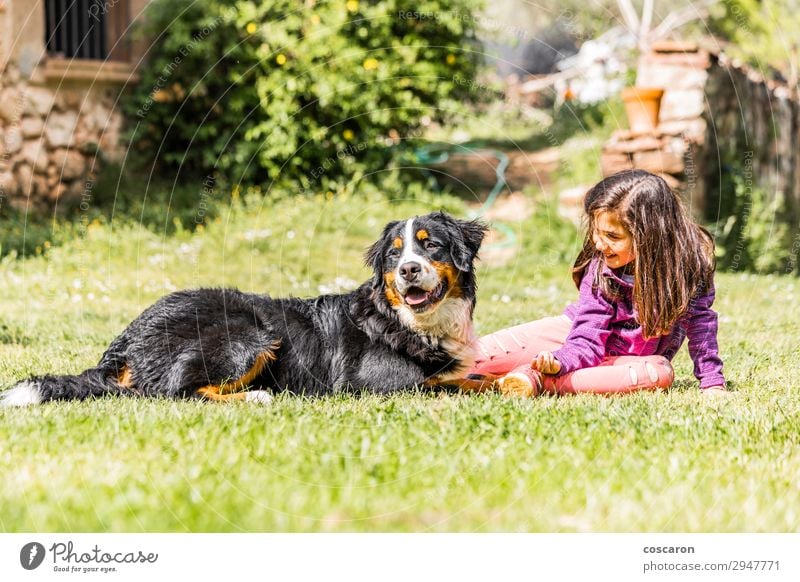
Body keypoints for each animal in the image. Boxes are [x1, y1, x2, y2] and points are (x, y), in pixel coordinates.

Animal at [0, 212, 490, 408]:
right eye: (393, 254)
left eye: (431, 246)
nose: (408, 270)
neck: (411, 321)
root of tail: (127, 335)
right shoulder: (377, 385)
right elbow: (455, 386)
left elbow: (470, 378)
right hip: (248, 334)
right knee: (173, 393)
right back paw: (255, 396)